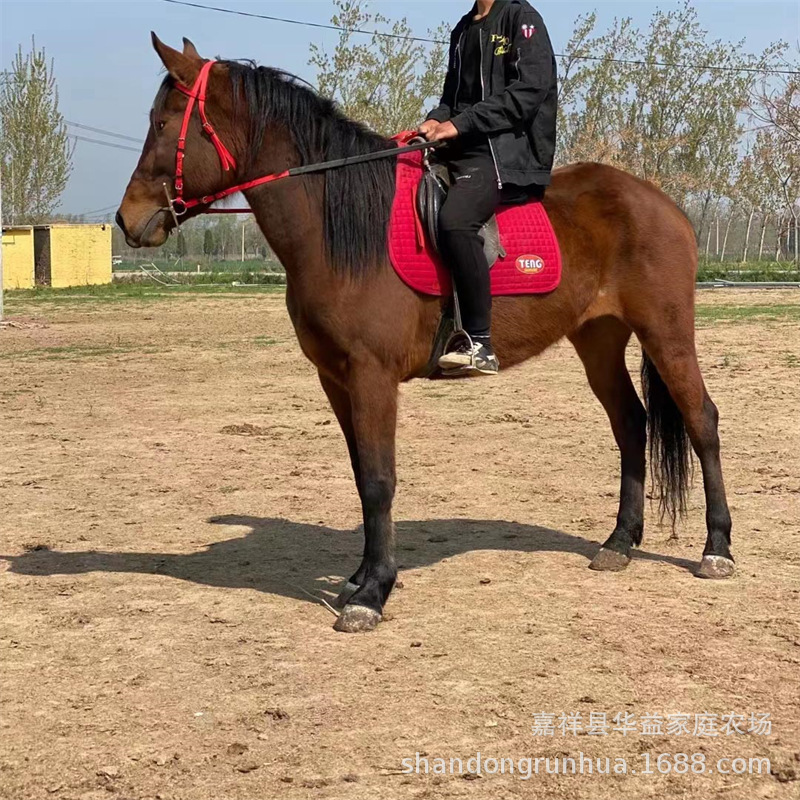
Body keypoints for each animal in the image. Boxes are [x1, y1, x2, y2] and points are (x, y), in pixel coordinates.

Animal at [116, 35, 734, 633]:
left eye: (164, 123)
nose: (127, 220)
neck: (341, 229)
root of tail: (663, 203)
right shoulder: (335, 379)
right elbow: (360, 473)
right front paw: (359, 578)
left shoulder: (372, 376)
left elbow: (378, 479)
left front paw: (373, 594)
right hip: (599, 339)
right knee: (631, 423)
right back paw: (619, 544)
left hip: (665, 332)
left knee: (701, 419)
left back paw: (717, 549)